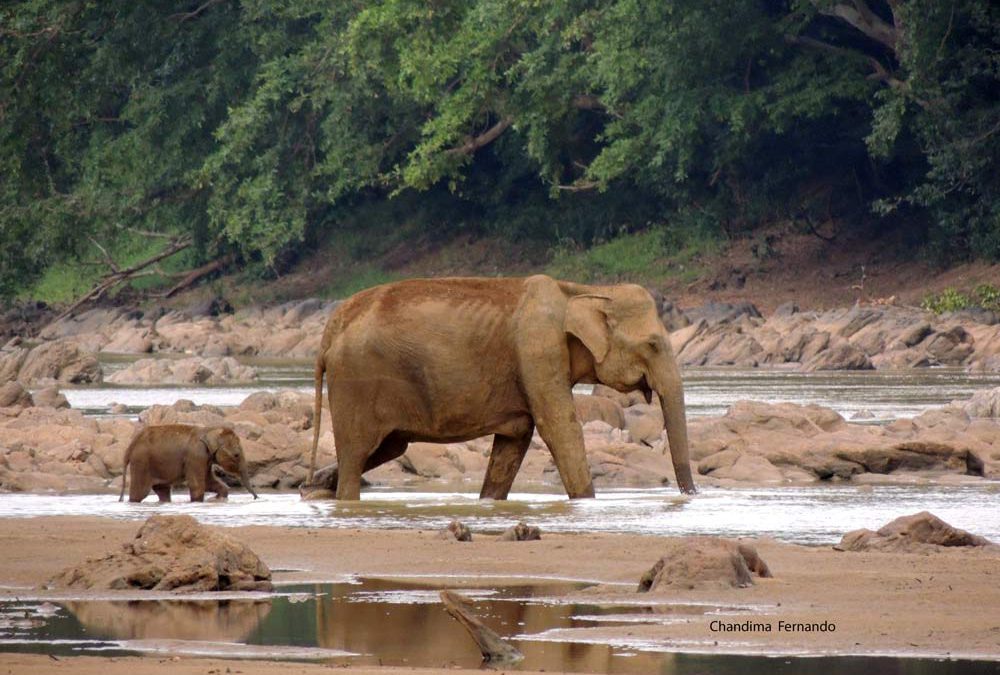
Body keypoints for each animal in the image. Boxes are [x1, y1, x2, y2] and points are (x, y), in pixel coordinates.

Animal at [119, 428, 258, 502]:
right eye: (236, 455)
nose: (256, 497)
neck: (210, 430)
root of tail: (130, 446)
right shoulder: (195, 456)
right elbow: (198, 485)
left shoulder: (205, 458)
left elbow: (210, 482)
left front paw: (218, 498)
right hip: (141, 463)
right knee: (139, 493)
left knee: (162, 490)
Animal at [306, 276, 696, 502]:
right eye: (653, 345)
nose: (691, 496)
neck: (585, 289)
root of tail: (330, 329)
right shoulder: (538, 351)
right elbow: (559, 429)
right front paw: (586, 502)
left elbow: (515, 440)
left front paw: (489, 503)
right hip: (356, 382)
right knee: (358, 453)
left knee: (384, 449)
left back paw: (316, 487)